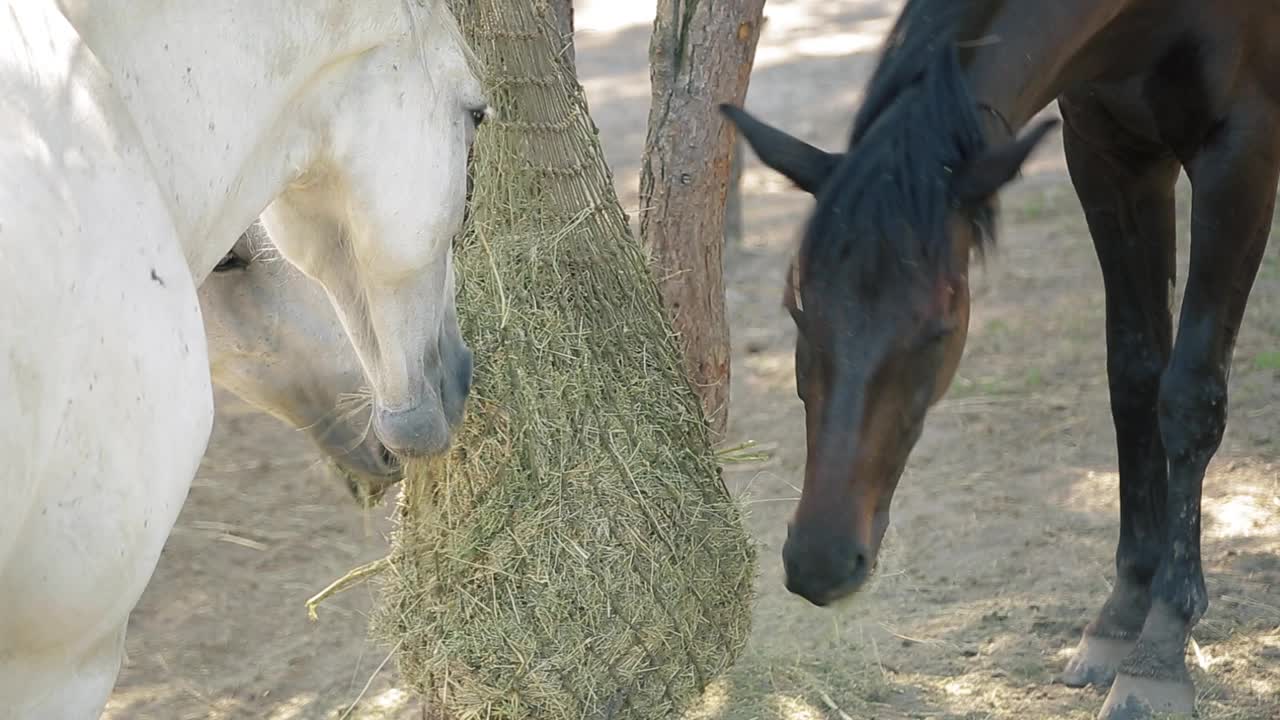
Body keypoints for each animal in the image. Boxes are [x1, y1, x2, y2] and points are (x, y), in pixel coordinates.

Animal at [727, 1, 1274, 717]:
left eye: (940, 328)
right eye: (797, 307)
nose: (820, 561)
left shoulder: (1240, 153)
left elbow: (1189, 397)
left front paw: (1159, 649)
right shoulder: (1108, 150)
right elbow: (1133, 374)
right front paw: (1122, 614)